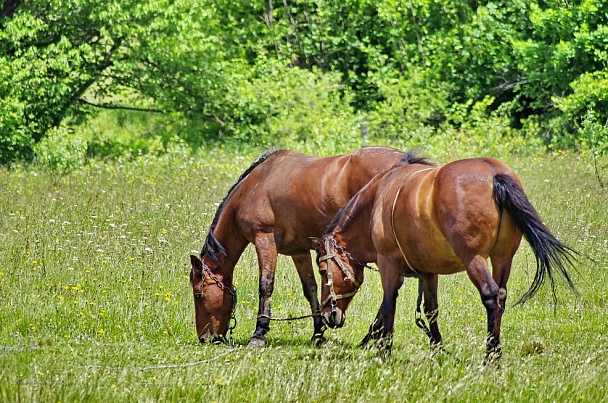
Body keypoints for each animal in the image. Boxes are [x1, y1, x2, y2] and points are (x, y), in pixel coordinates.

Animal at [189, 147, 422, 348]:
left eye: (198, 295)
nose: (205, 338)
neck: (255, 184)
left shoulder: (264, 240)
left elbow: (265, 285)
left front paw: (259, 334)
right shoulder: (299, 251)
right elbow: (310, 288)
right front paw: (318, 333)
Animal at [312, 157, 576, 360]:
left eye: (324, 270)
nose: (328, 315)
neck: (376, 200)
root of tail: (494, 174)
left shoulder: (388, 265)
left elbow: (388, 306)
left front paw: (384, 351)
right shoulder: (429, 271)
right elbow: (431, 310)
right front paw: (437, 348)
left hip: (474, 259)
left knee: (491, 296)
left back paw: (490, 357)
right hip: (503, 258)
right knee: (500, 296)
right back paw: (495, 351)